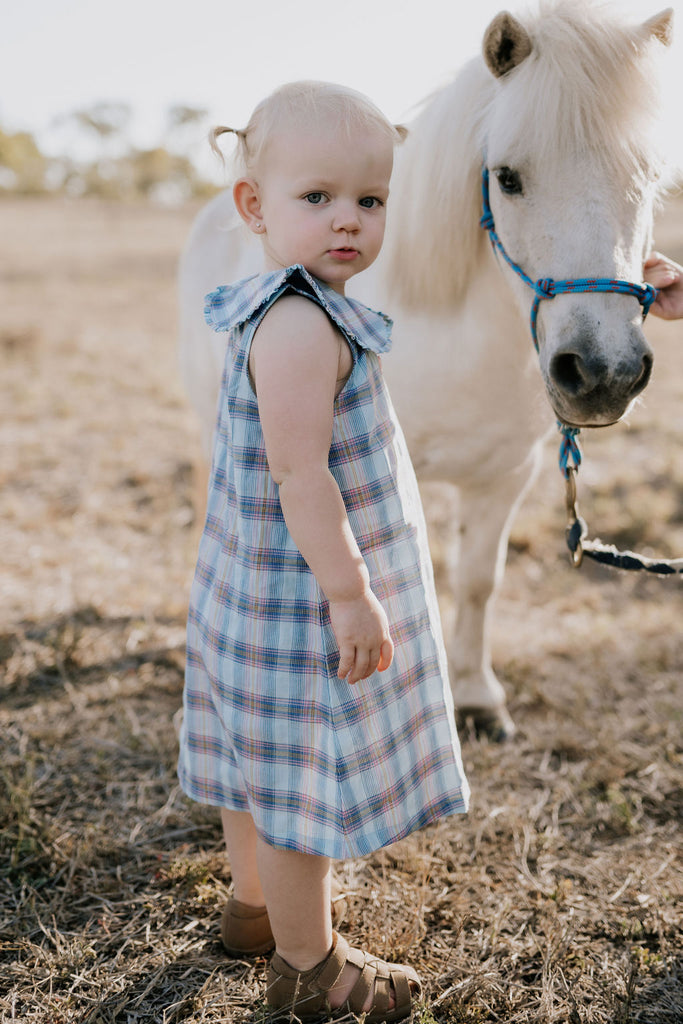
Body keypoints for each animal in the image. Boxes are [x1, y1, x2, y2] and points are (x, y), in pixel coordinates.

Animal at [178, 0, 671, 737]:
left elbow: (476, 580)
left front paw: (475, 694)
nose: (603, 371)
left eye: (651, 178)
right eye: (507, 177)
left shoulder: (506, 476)